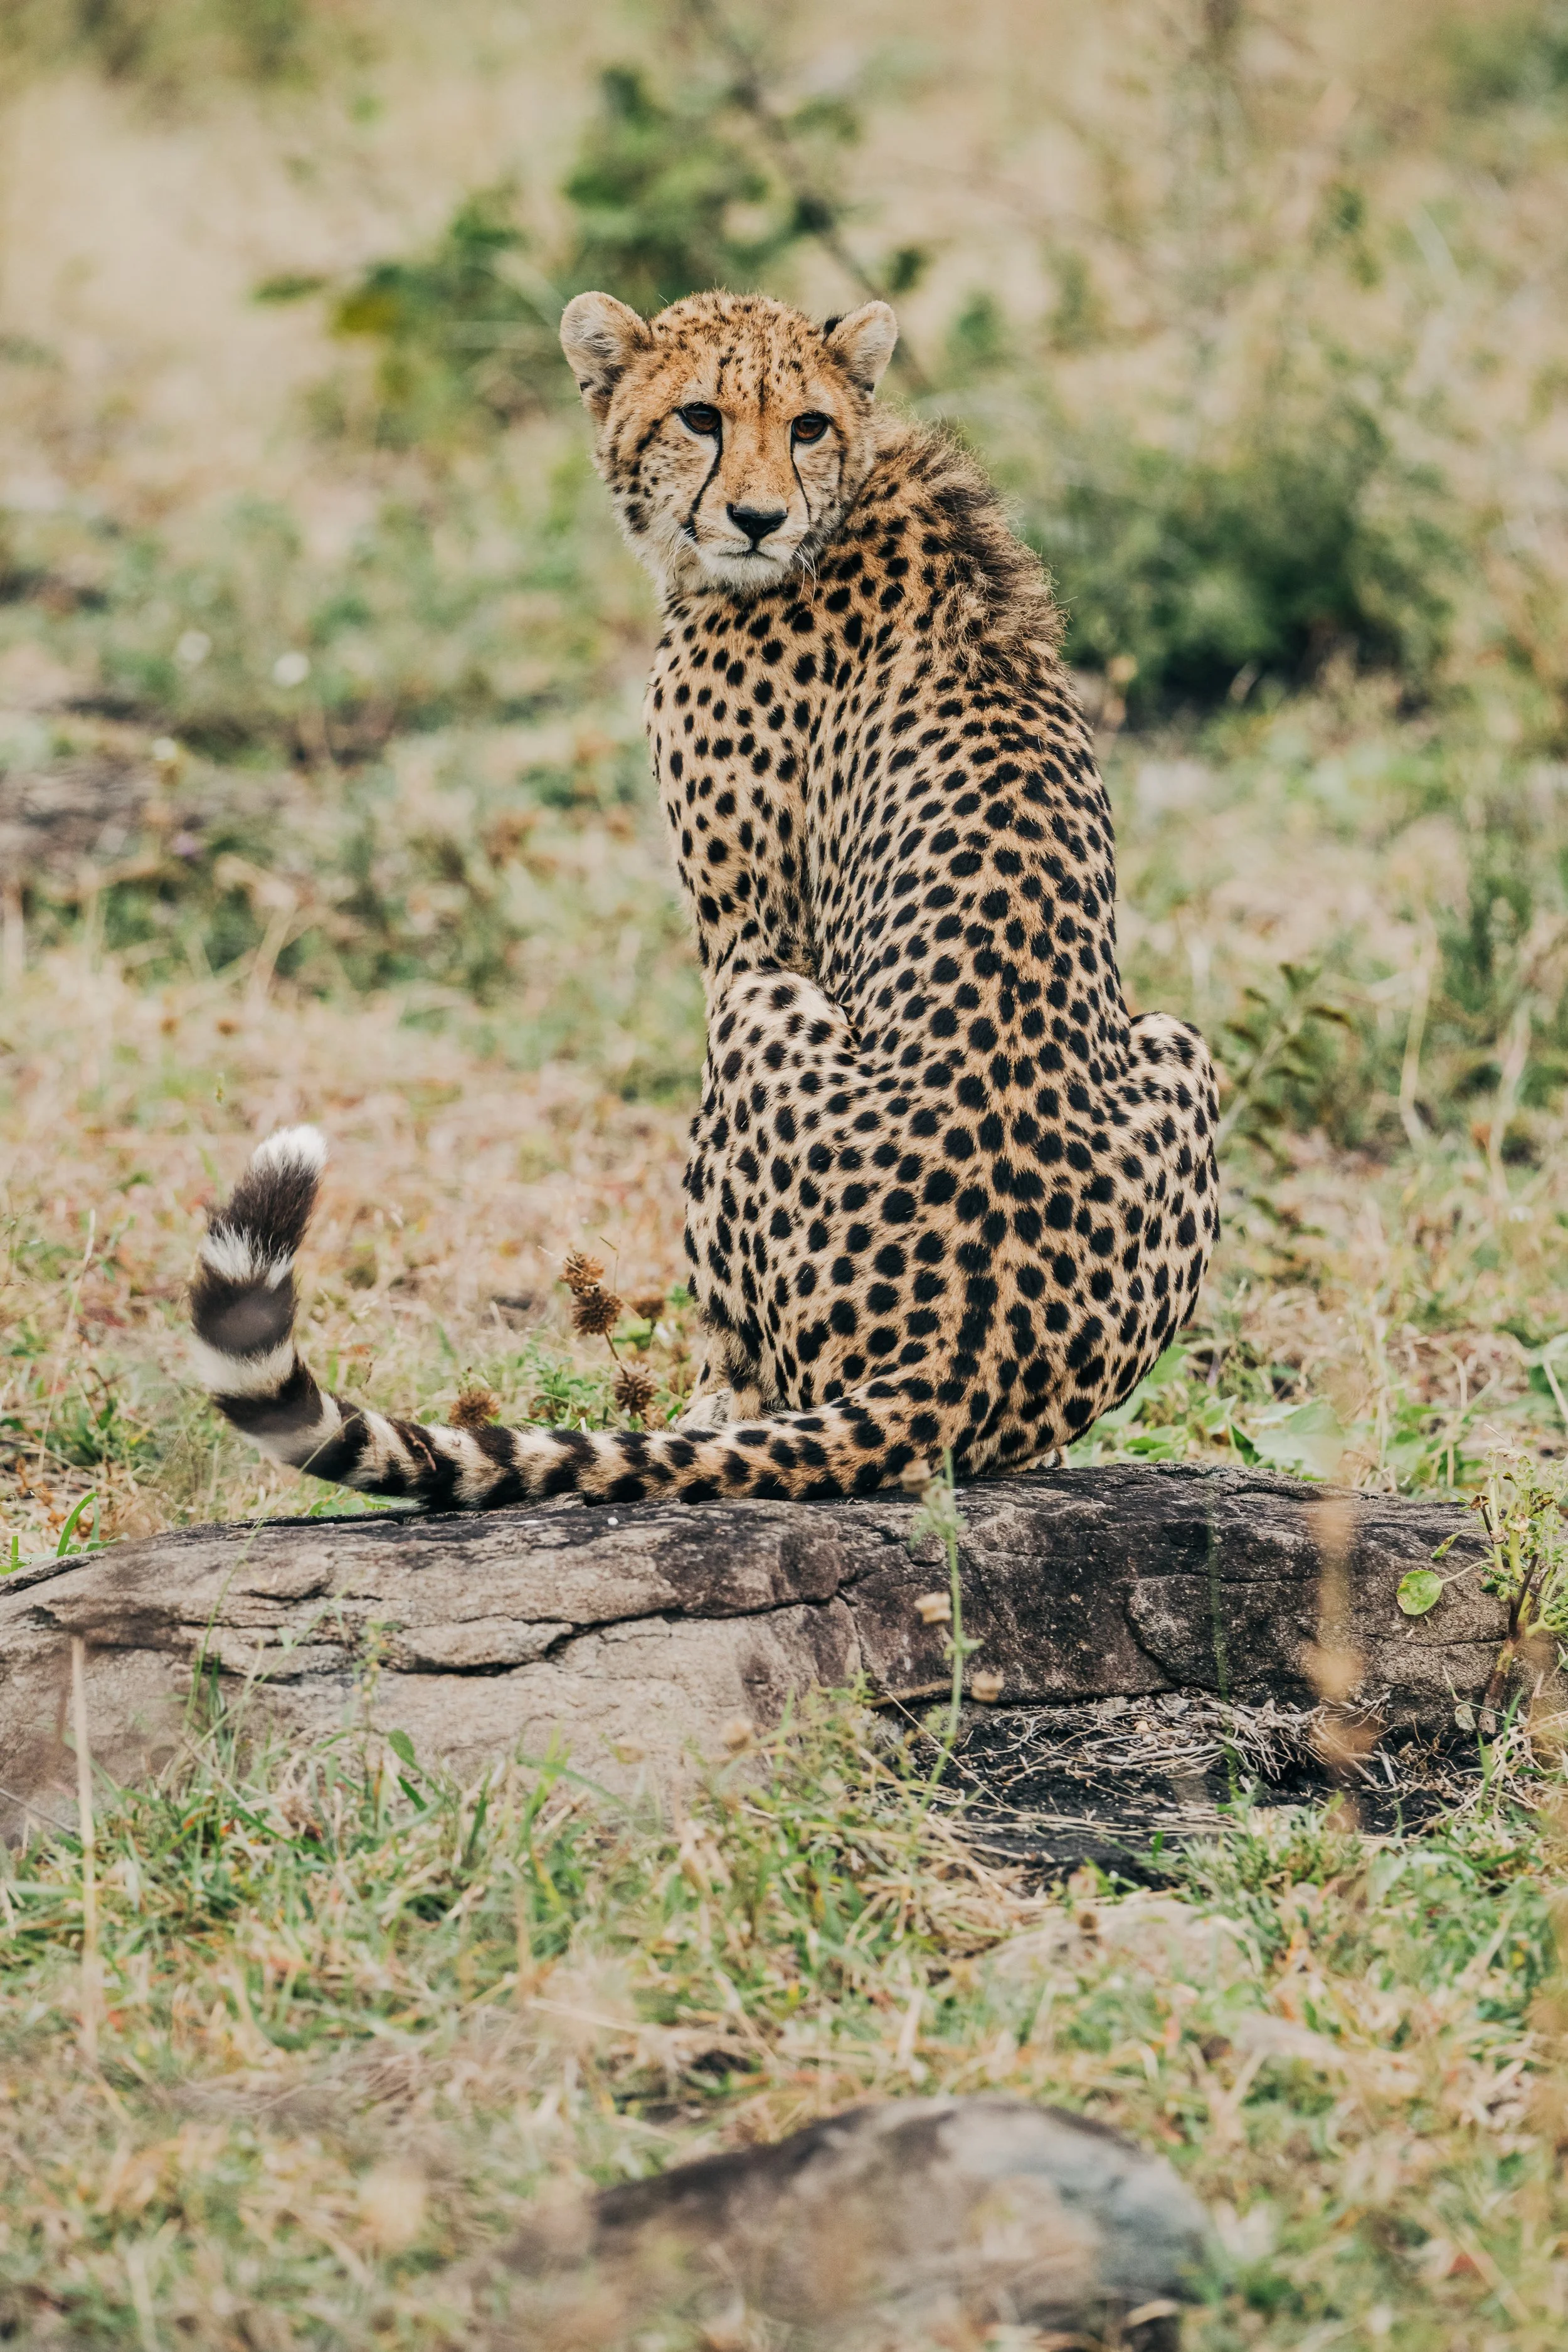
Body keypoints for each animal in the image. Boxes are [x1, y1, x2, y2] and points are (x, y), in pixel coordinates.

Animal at [187, 288, 1219, 1512]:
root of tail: (959, 1357)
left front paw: (703, 1409)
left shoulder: (752, 930)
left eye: (808, 423)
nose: (759, 518)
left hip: (766, 1003)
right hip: (1178, 1042)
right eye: (701, 416)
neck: (846, 498)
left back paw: (707, 1418)